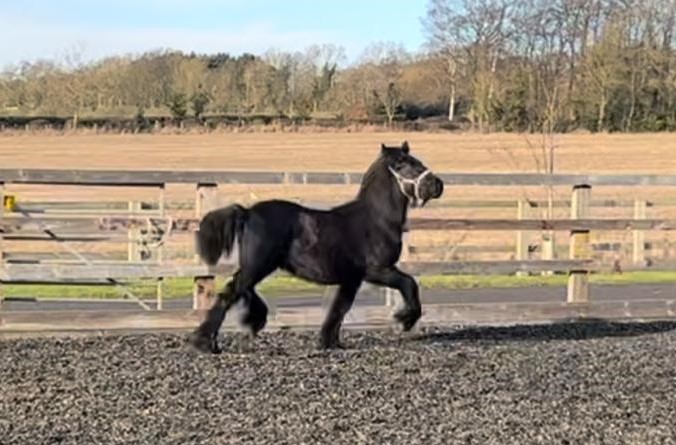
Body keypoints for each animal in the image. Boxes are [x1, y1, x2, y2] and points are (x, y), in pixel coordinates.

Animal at [189, 140, 444, 352]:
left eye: (417, 160)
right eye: (402, 164)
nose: (437, 185)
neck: (376, 220)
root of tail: (247, 212)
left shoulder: (352, 278)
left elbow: (339, 309)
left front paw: (330, 342)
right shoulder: (376, 270)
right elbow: (408, 283)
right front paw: (404, 319)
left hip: (260, 265)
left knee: (242, 289)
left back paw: (252, 320)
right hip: (258, 265)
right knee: (231, 292)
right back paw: (205, 342)